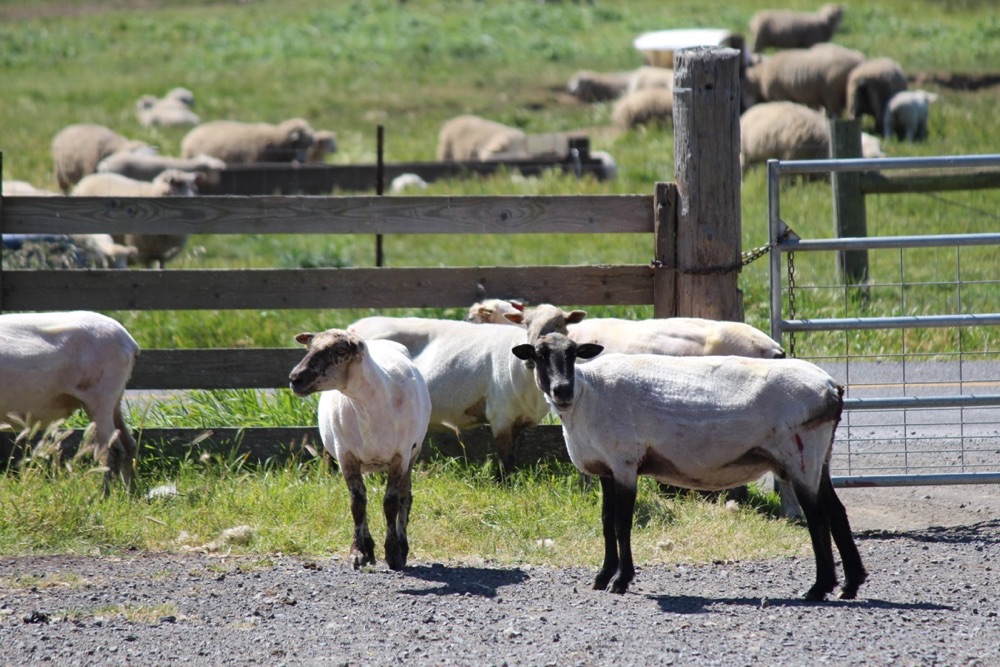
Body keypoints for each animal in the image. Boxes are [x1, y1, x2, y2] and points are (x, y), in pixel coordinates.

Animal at [0, 311, 140, 495]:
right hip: (114, 400)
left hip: (102, 397)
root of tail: (129, 341)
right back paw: (131, 493)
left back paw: (103, 496)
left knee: (113, 451)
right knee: (129, 444)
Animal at [72, 169, 200, 268]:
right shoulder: (144, 250)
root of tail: (87, 179)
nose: (193, 197)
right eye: (179, 184)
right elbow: (149, 265)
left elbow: (161, 265)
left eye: (193, 186)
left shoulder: (163, 252)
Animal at [289, 328, 431, 570]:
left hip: (413, 453)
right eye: (309, 347)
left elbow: (391, 503)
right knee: (362, 498)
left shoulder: (400, 456)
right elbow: (357, 503)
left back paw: (402, 546)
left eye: (340, 350)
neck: (366, 406)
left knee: (405, 497)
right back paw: (369, 548)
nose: (294, 378)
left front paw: (393, 552)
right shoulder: (346, 456)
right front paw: (358, 552)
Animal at [347, 316, 547, 475]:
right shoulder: (501, 415)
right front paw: (506, 483)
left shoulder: (519, 420)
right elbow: (506, 457)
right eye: (528, 326)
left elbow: (512, 455)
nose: (531, 361)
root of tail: (353, 327)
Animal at [511, 333, 867, 600]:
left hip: (801, 454)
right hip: (820, 457)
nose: (562, 389)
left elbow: (622, 524)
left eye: (573, 354)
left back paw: (819, 588)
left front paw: (621, 581)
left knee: (817, 517)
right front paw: (603, 576)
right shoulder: (606, 471)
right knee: (836, 511)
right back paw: (851, 584)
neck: (587, 395)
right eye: (539, 355)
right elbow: (605, 522)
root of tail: (832, 388)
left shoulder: (625, 463)